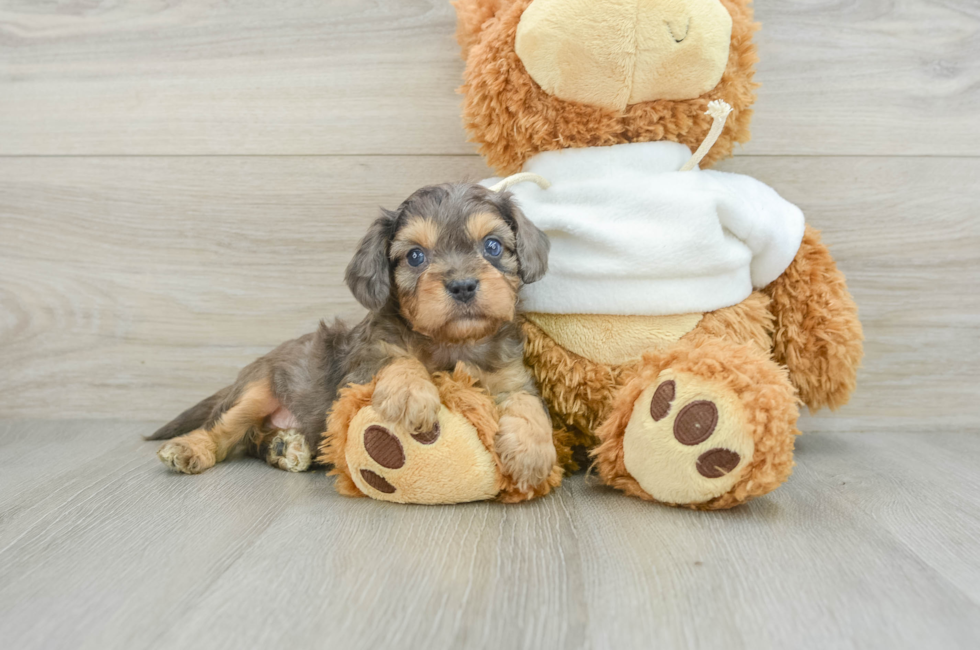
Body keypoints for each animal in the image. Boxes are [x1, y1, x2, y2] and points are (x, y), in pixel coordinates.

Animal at [147, 181, 560, 486]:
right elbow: (395, 359)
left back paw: (284, 447)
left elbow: (528, 405)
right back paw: (192, 448)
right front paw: (411, 391)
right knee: (222, 430)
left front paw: (533, 451)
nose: (462, 286)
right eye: (415, 256)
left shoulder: (511, 378)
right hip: (258, 388)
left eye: (492, 246)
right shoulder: (360, 364)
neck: (452, 344)